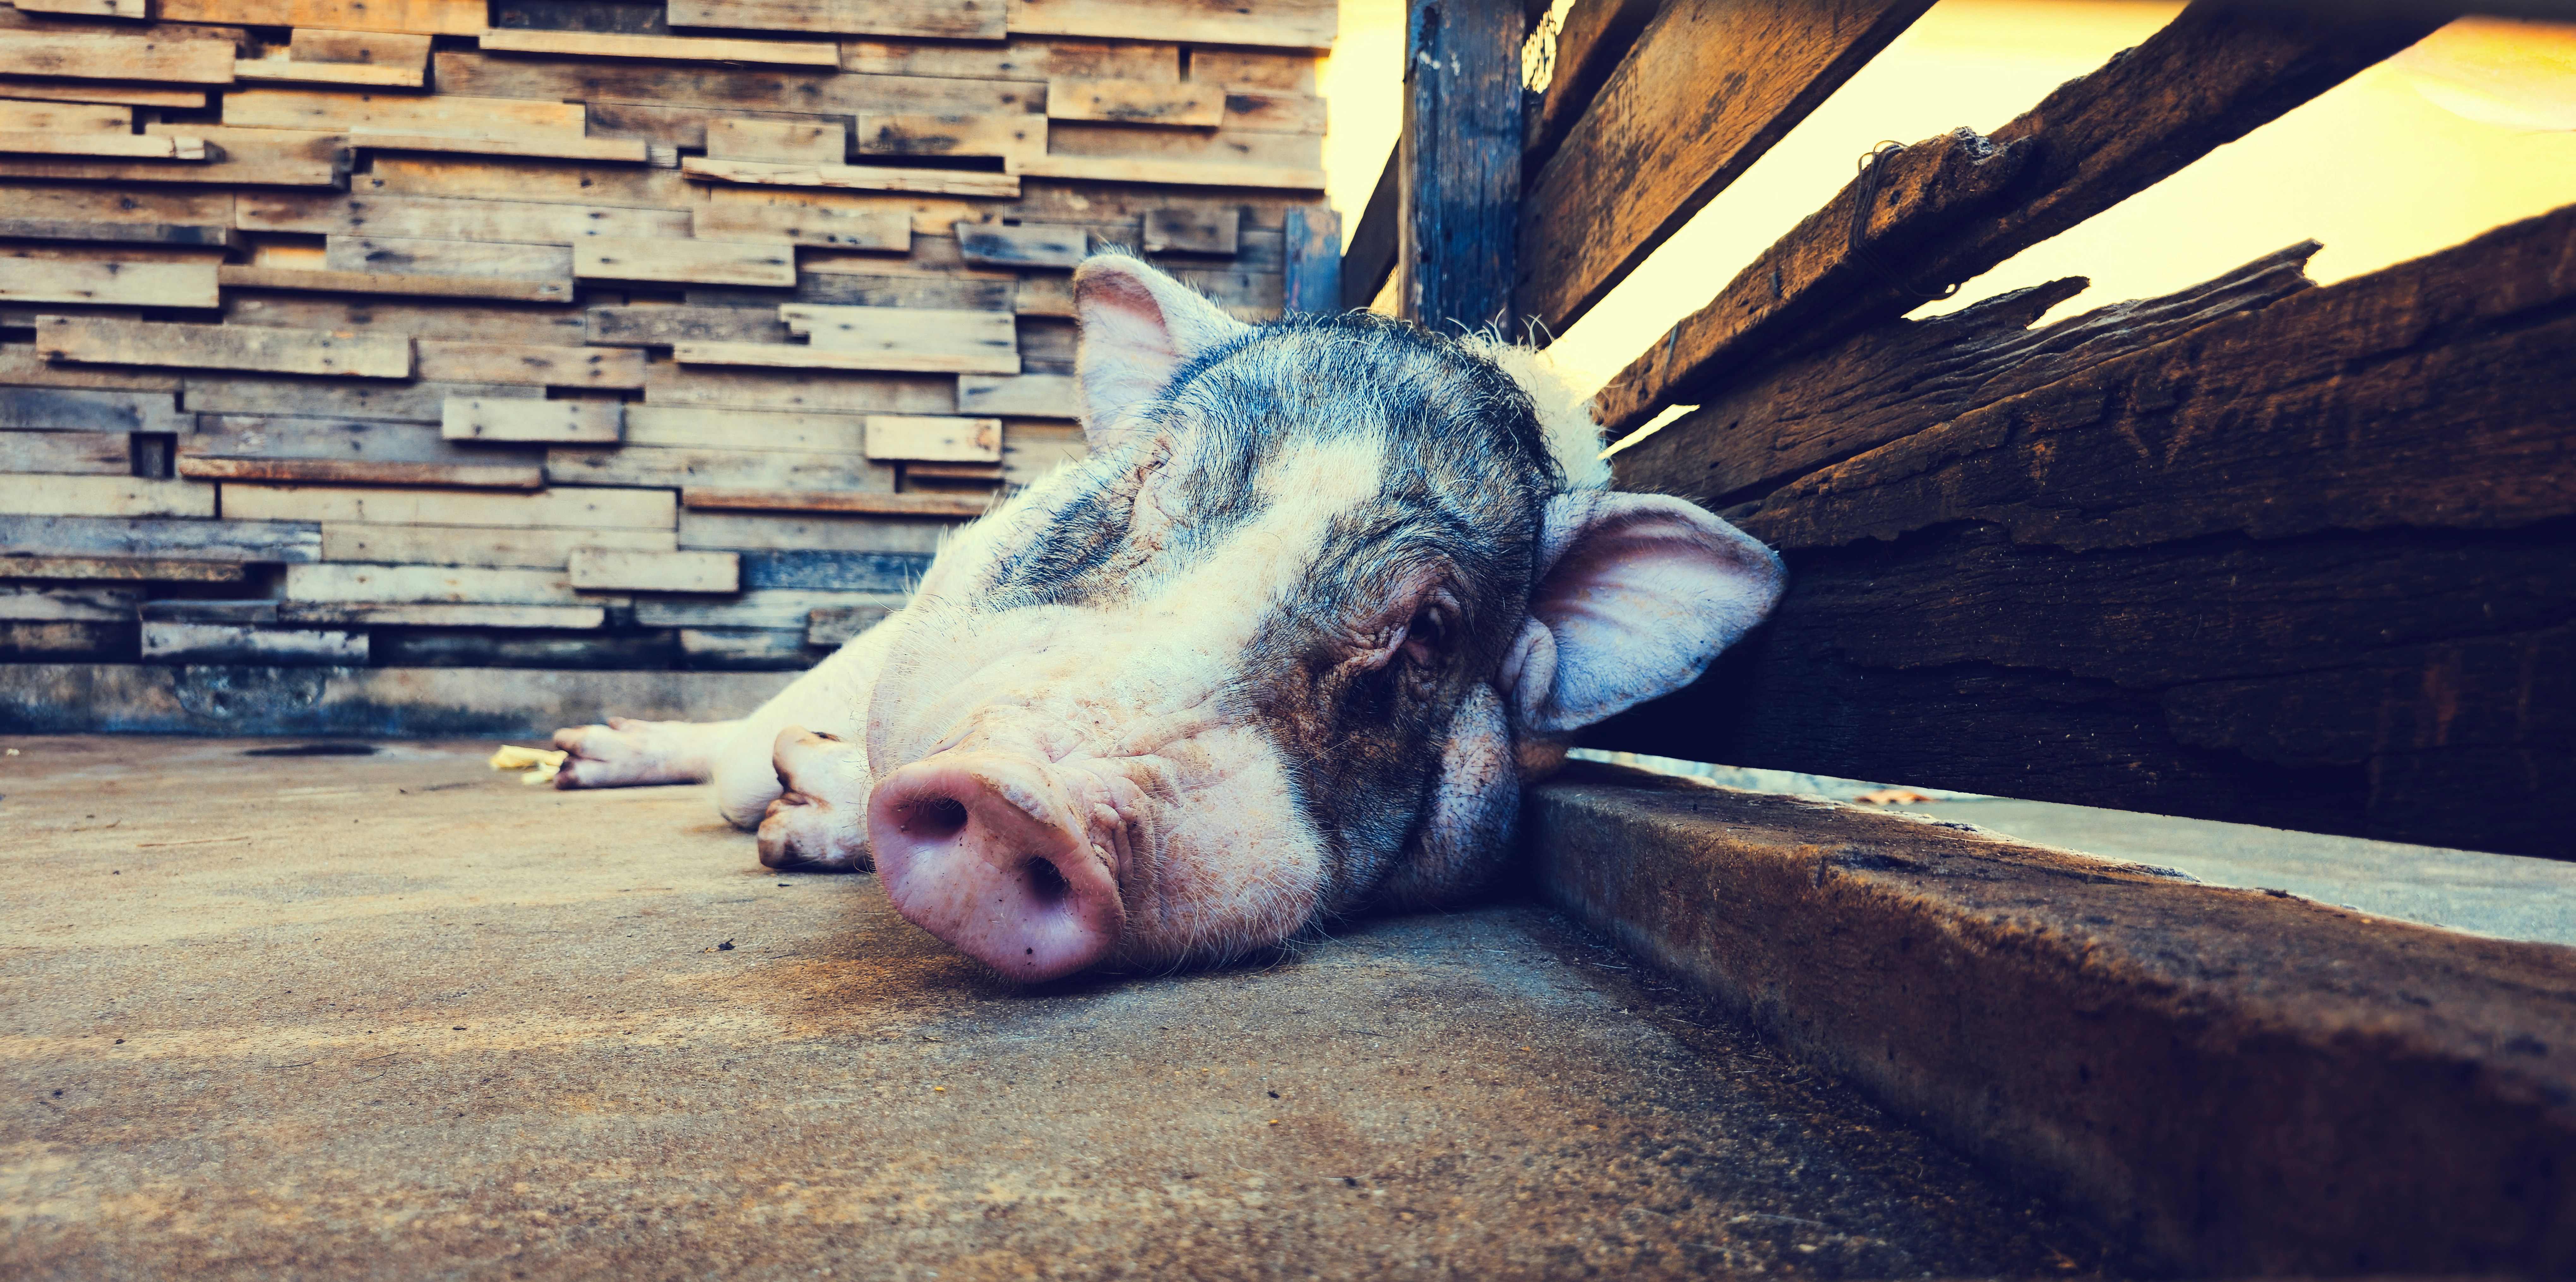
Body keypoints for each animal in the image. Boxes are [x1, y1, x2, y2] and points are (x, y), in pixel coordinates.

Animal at [550, 252, 1784, 982]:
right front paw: (790, 818)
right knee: (729, 754)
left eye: (1431, 630)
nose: (1016, 797)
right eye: (1151, 481)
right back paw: (587, 759)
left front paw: (796, 825)